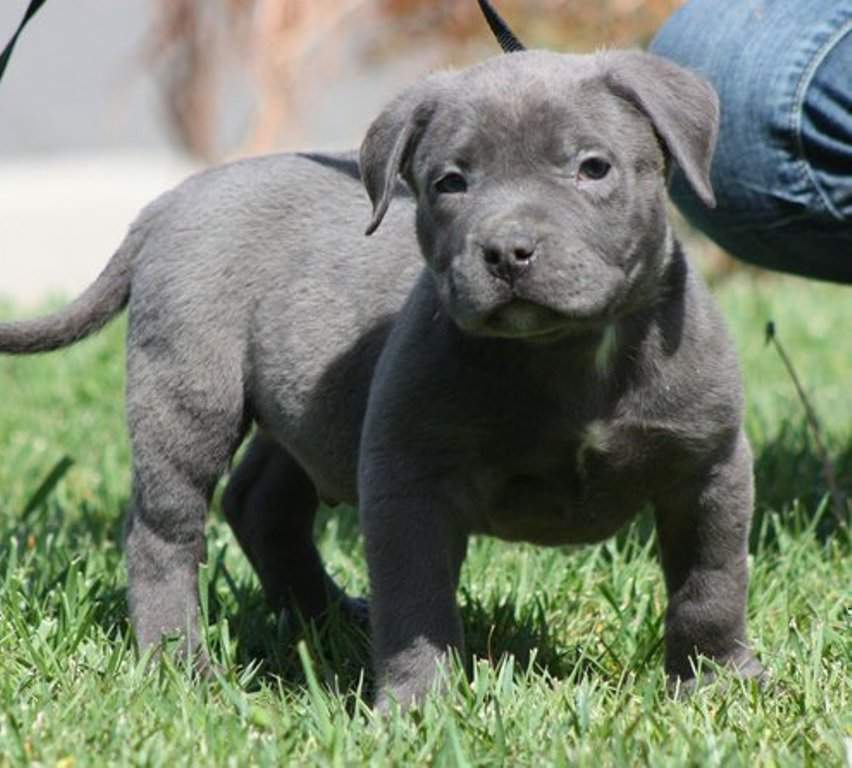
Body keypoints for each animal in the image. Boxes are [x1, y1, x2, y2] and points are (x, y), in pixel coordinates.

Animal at [0, 45, 764, 704]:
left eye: (593, 168)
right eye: (450, 183)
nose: (507, 251)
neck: (566, 351)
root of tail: (168, 202)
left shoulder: (711, 468)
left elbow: (711, 584)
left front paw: (716, 681)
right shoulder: (408, 482)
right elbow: (417, 600)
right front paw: (419, 705)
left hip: (309, 400)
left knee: (261, 501)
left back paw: (327, 618)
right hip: (187, 395)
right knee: (163, 531)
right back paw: (181, 664)